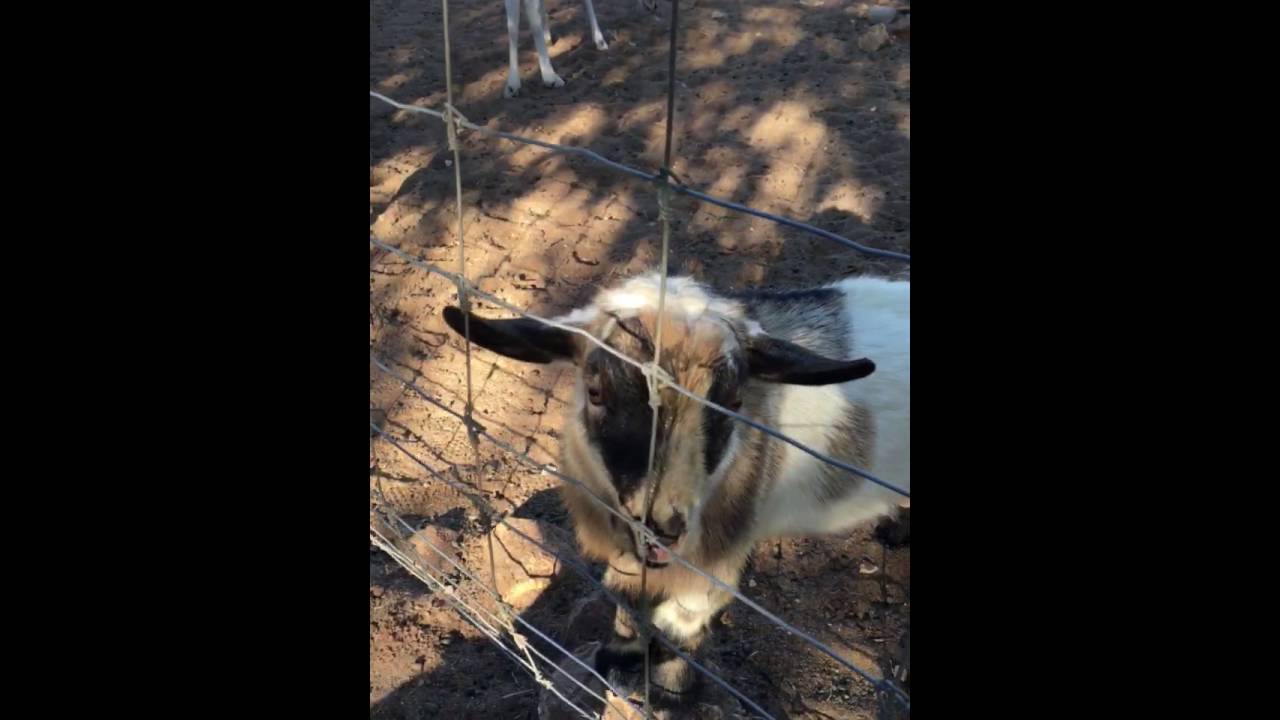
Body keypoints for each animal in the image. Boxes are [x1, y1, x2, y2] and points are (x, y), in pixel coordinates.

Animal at [442, 272, 909, 713]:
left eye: (734, 402)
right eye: (595, 391)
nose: (662, 527)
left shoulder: (715, 557)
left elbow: (679, 620)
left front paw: (662, 684)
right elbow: (627, 597)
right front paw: (619, 656)